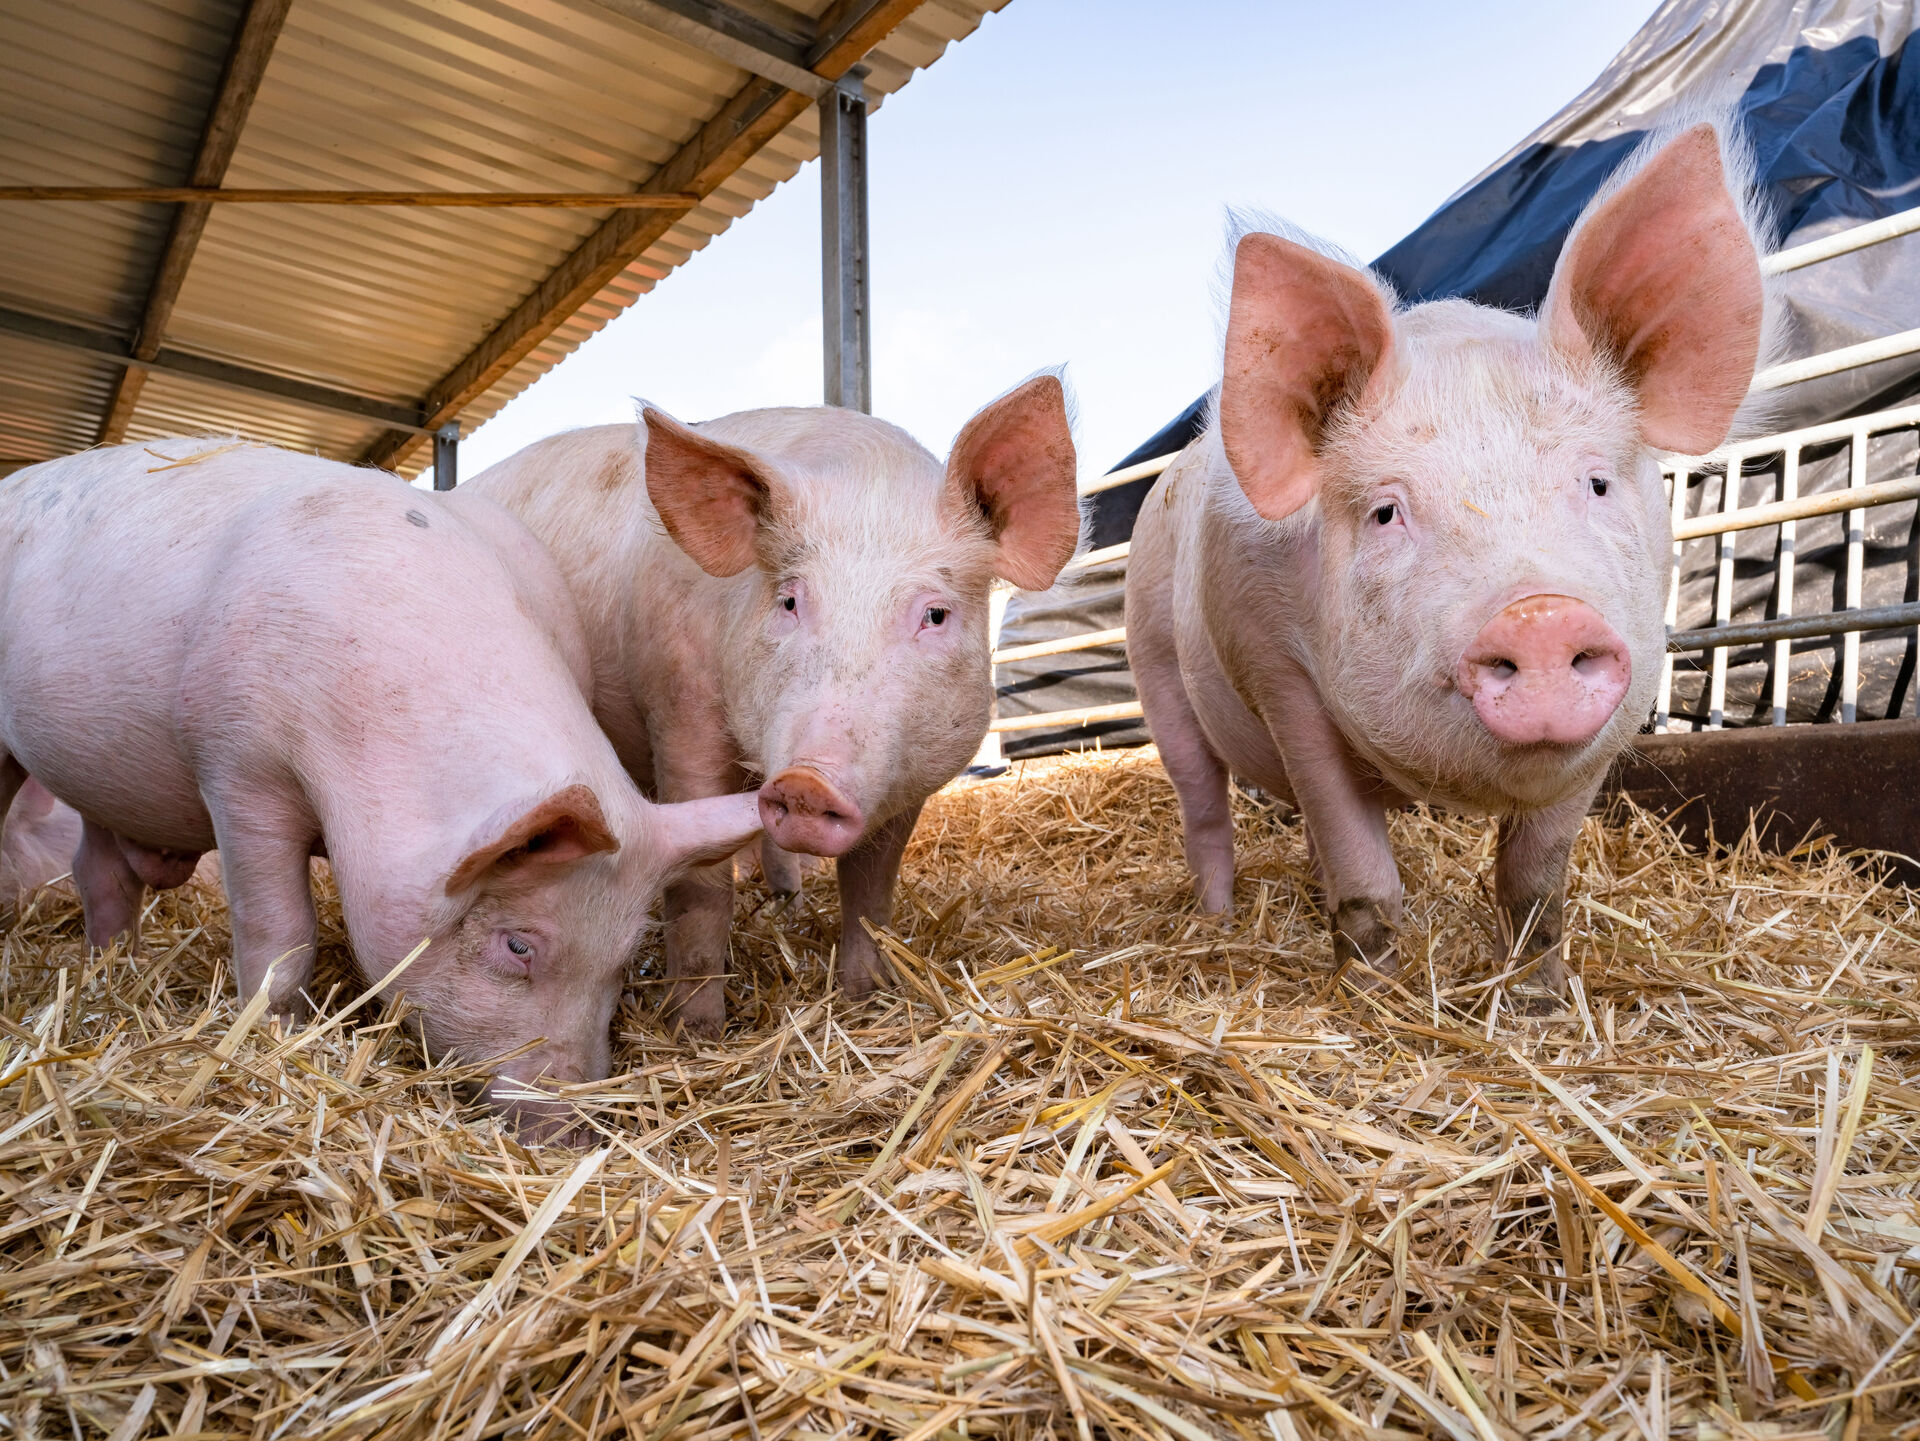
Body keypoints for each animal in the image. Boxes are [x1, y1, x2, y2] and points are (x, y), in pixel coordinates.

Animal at [0, 437, 764, 1128]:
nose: (570, 1122)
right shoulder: (237, 763)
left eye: (626, 955)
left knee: (97, 869)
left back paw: (109, 963)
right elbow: (279, 930)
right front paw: (278, 1035)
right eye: (518, 945)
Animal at [464, 379, 1082, 1036]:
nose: (808, 783)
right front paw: (696, 1033)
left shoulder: (912, 774)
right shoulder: (678, 708)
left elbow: (871, 888)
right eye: (788, 600)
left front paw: (866, 999)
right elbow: (702, 890)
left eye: (935, 615)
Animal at [1121, 126, 1766, 1005]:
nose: (1540, 614)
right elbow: (1367, 881)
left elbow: (1534, 883)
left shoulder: (1607, 729)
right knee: (1205, 807)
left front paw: (1540, 1003)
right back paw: (1215, 921)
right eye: (1387, 511)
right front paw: (1377, 1003)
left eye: (1597, 482)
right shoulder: (1278, 671)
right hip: (1155, 666)